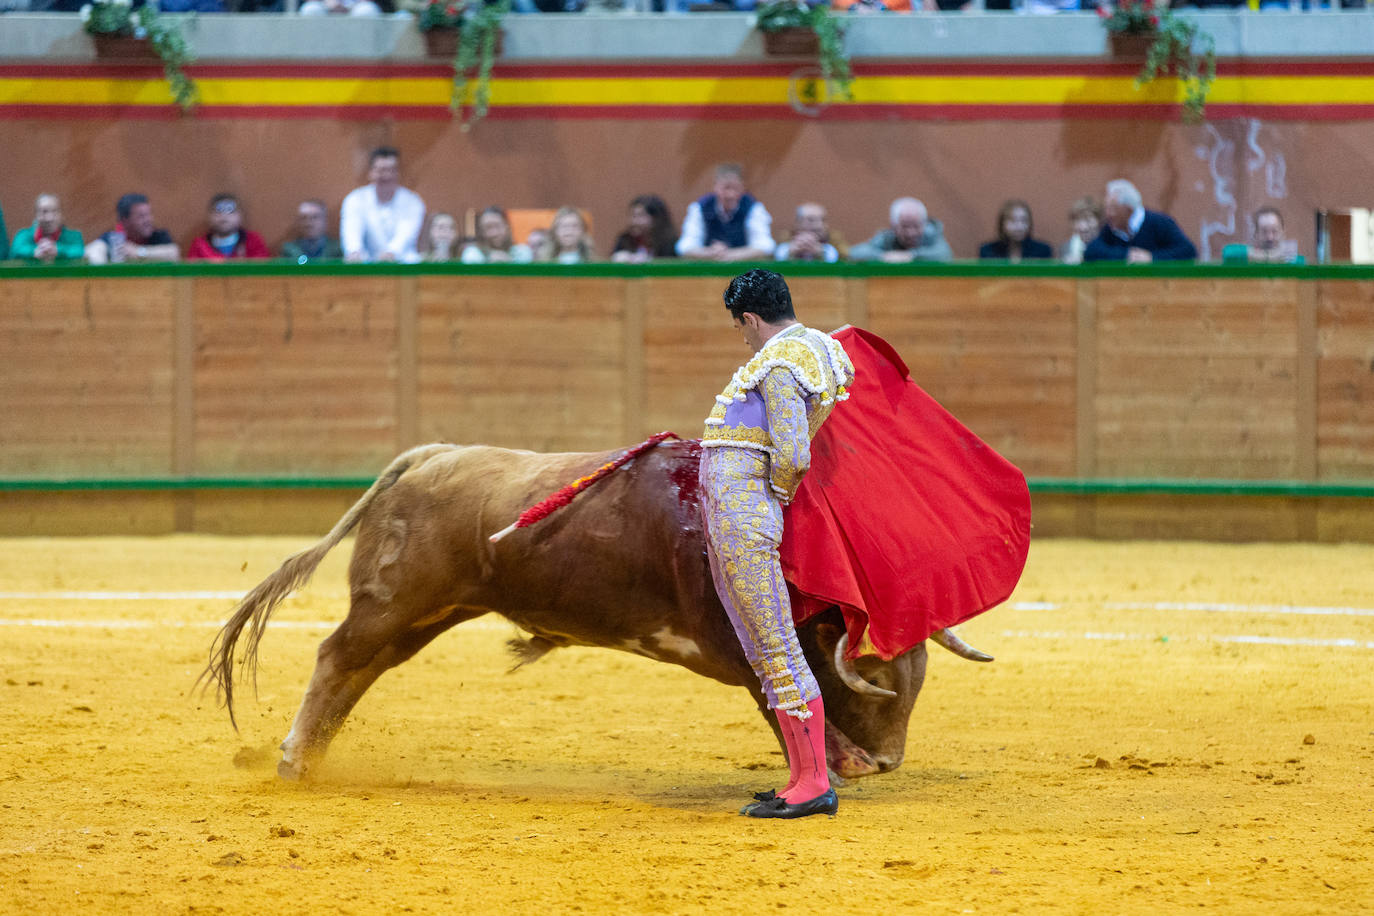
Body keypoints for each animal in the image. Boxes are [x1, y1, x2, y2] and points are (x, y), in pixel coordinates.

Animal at [203, 439, 989, 785]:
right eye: (876, 672)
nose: (888, 762)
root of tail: (431, 456)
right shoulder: (743, 647)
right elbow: (785, 701)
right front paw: (842, 762)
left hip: (428, 612)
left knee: (359, 670)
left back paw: (312, 755)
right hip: (397, 601)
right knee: (338, 657)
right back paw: (295, 758)